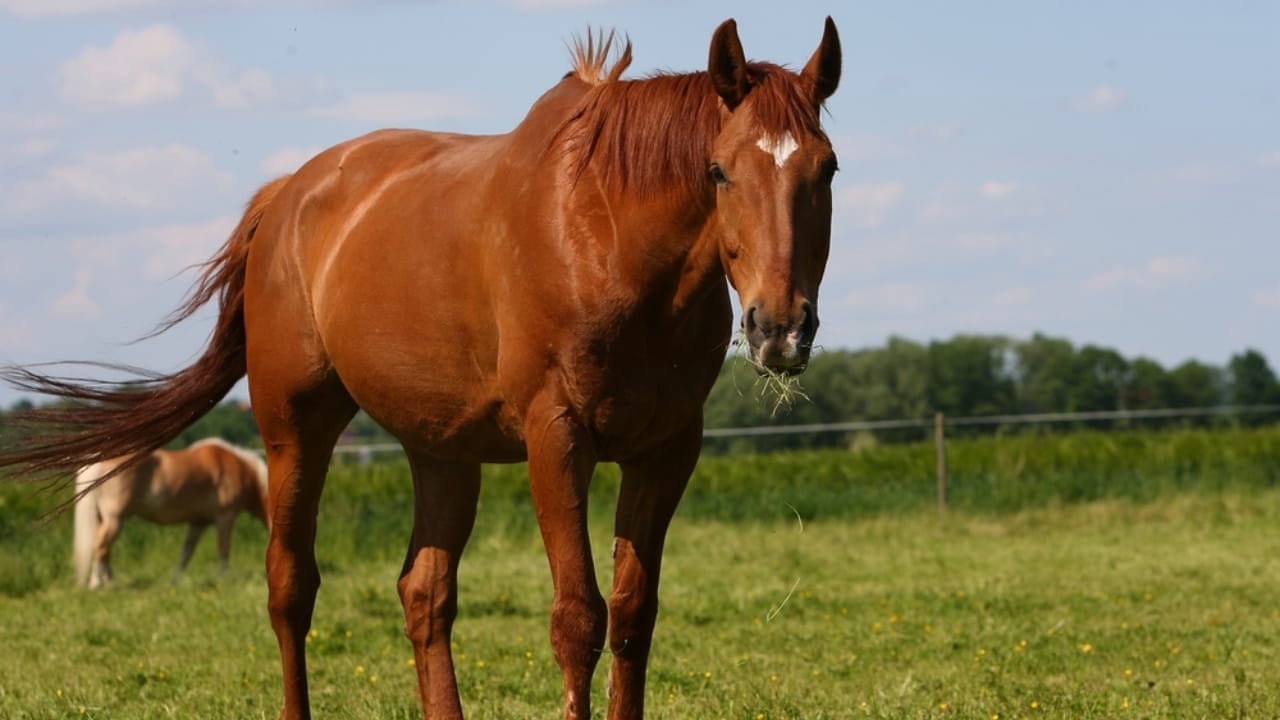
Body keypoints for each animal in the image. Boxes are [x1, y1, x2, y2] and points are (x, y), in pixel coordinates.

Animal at [73, 437, 269, 589]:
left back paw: (110, 583)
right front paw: (224, 579)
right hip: (115, 519)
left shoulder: (198, 522)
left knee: (105, 549)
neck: (240, 469)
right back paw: (97, 584)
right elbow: (223, 549)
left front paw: (175, 580)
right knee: (102, 546)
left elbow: (186, 552)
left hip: (103, 519)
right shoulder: (225, 517)